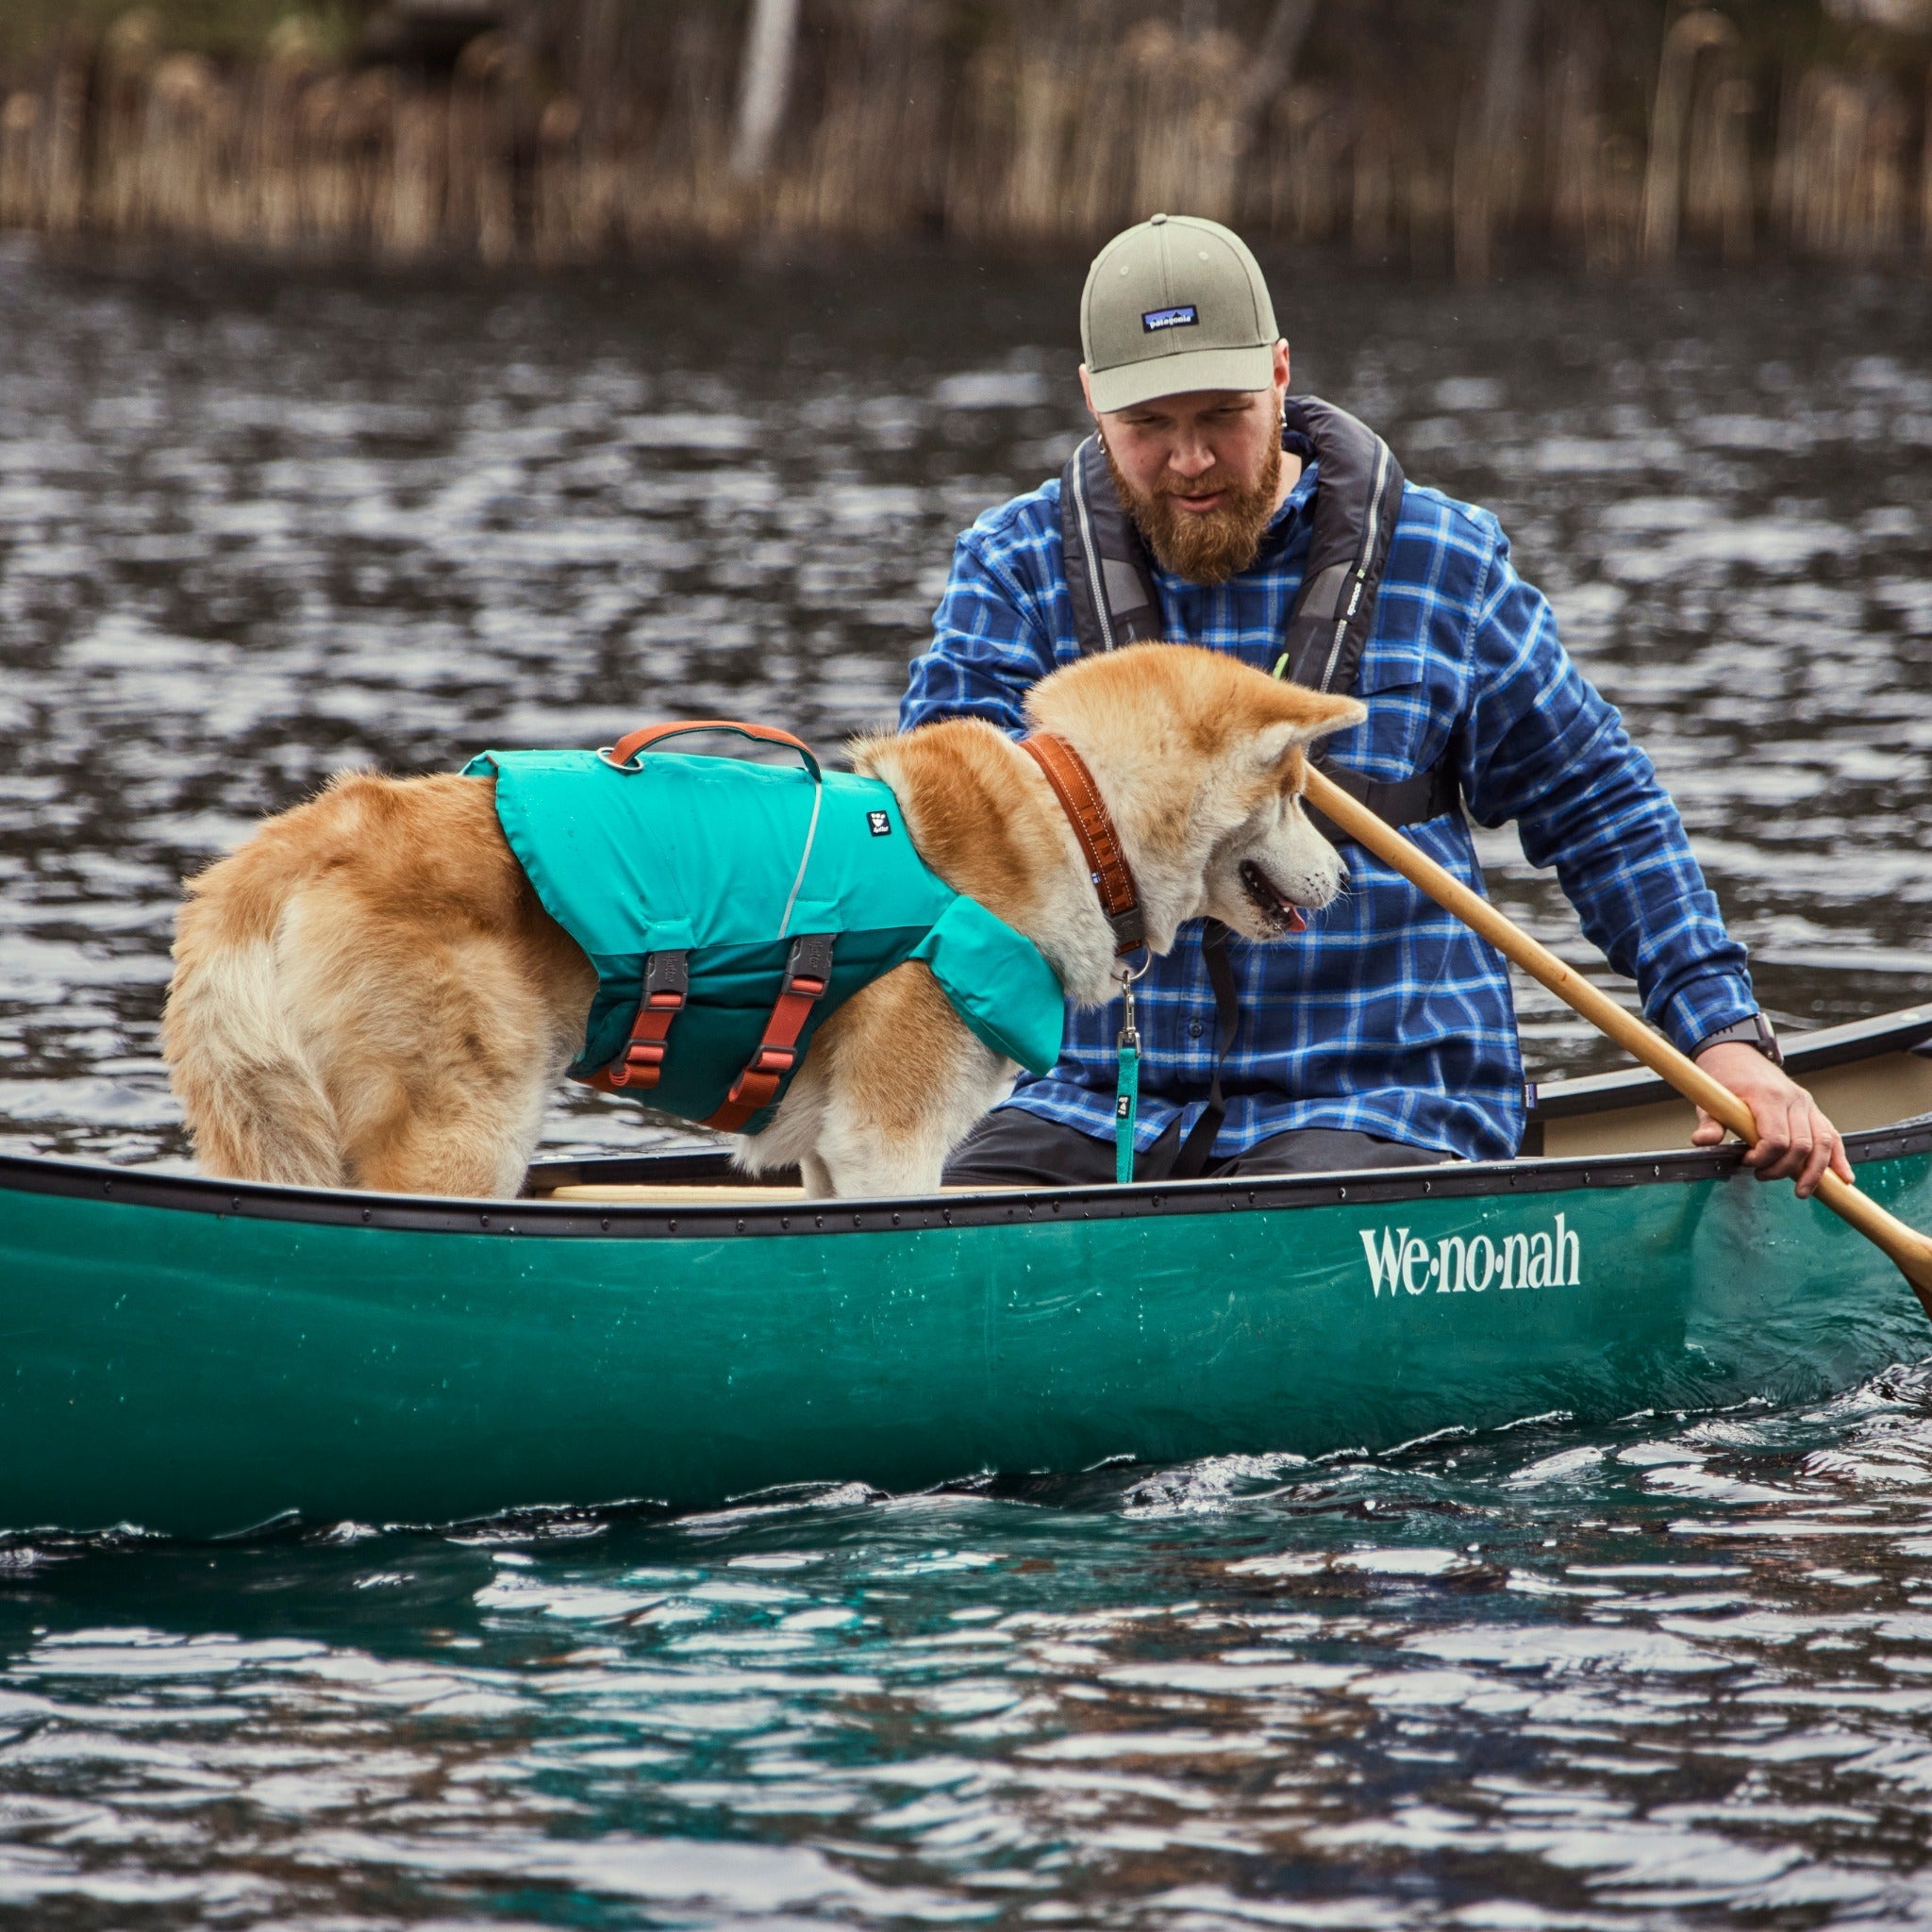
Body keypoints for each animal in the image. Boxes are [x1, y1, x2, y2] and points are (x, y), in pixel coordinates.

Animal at [166, 641, 1367, 1197]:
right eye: (1296, 786)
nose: (1349, 875)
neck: (1078, 823)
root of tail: (276, 855)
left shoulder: (835, 1155)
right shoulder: (891, 1143)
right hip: (461, 1139)